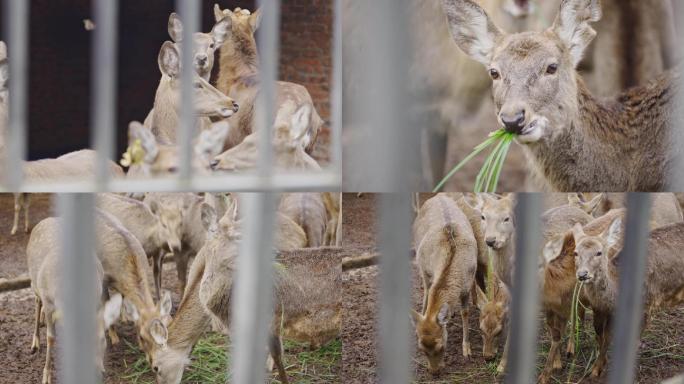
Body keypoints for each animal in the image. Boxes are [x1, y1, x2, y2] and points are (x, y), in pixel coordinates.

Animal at [26, 218, 123, 382]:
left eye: (102, 341)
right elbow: (51, 337)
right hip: (34, 282)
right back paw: (35, 342)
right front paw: (46, 376)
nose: (98, 373)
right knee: (37, 301)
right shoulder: (48, 300)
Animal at [408, 194, 478, 374]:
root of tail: (439, 195)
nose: (434, 372)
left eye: (441, 346)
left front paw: (466, 350)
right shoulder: (425, 270)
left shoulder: (466, 287)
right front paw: (421, 315)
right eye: (421, 349)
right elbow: (427, 294)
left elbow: (465, 312)